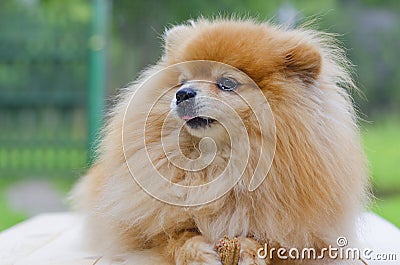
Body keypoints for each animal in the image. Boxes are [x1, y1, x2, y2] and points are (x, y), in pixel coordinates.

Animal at [72, 17, 368, 262]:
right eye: (183, 80)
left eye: (227, 84)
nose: (182, 93)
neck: (221, 162)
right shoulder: (144, 231)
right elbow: (174, 236)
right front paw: (196, 252)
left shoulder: (304, 238)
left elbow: (270, 243)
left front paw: (248, 251)